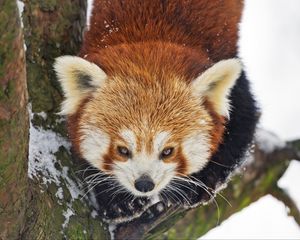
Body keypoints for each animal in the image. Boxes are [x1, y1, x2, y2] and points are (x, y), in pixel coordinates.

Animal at [55, 0, 256, 221]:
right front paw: (118, 200)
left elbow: (241, 129)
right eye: (122, 150)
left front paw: (199, 182)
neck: (151, 33)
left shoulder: (234, 85)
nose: (144, 184)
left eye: (168, 151)